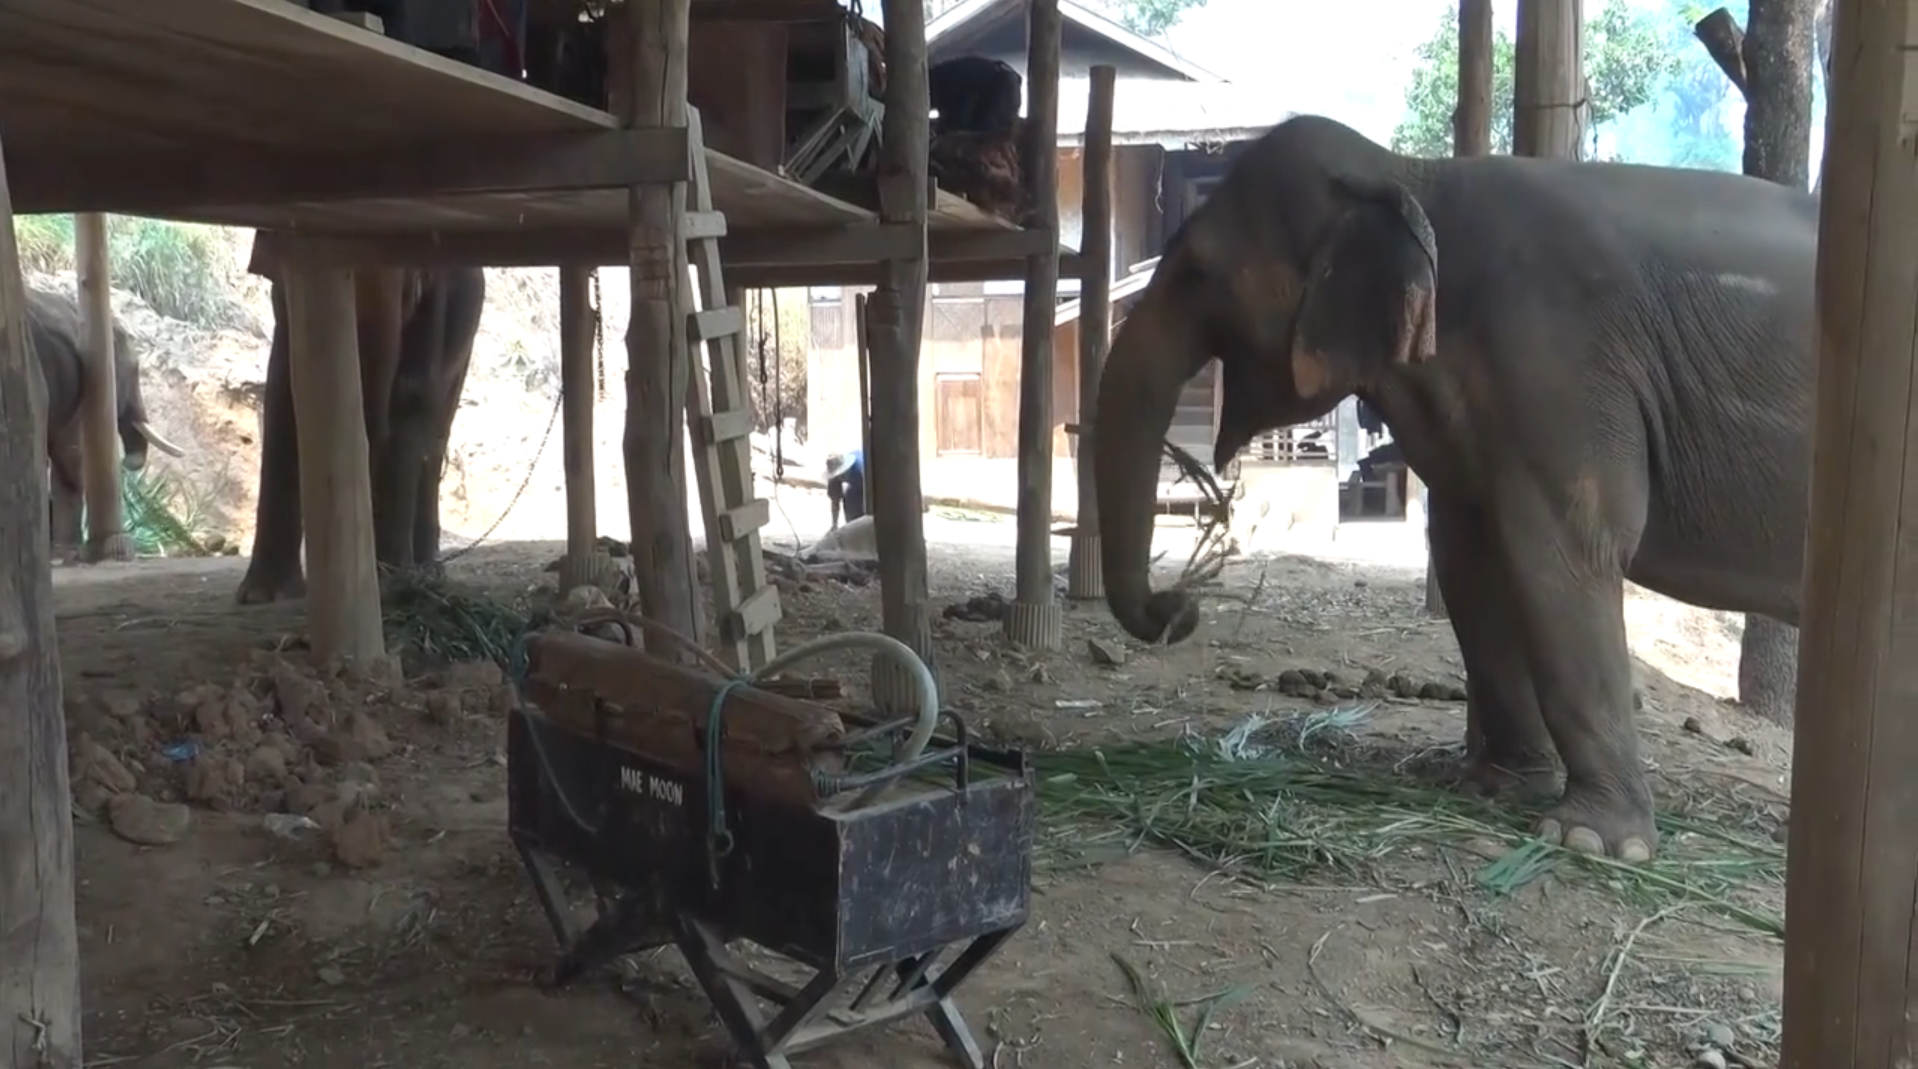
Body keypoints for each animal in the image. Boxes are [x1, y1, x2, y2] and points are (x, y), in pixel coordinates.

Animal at [233, 259, 487, 602]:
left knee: (436, 434)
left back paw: (425, 572)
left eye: (412, 287)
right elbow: (283, 390)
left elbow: (412, 391)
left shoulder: (441, 304)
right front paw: (263, 596)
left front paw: (393, 582)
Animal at [1097, 114, 1810, 867]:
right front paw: (1491, 787)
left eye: (1197, 271)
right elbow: (1471, 558)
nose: (1177, 607)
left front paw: (1587, 839)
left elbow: (1567, 554)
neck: (1409, 174)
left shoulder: (1561, 367)